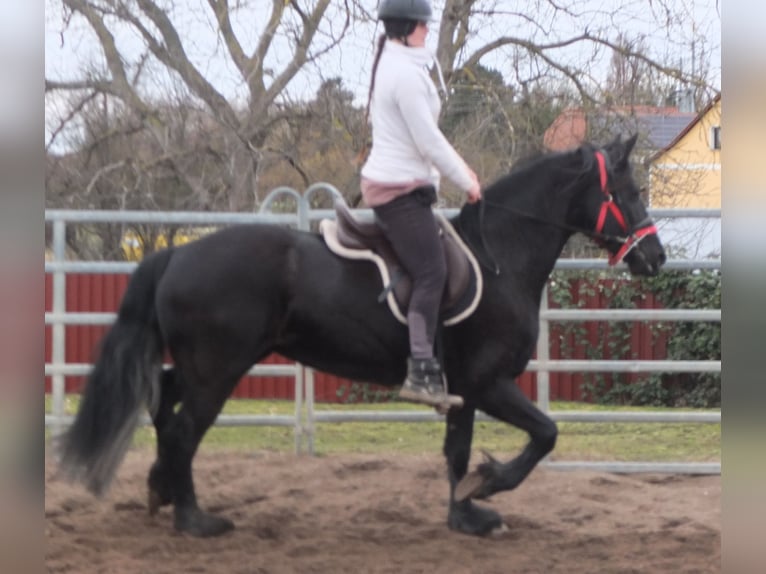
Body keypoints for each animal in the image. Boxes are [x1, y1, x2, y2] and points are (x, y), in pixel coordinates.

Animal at [57, 136, 664, 540]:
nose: (655, 257)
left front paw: (464, 515)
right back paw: (194, 520)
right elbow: (545, 434)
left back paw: (160, 491)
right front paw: (489, 486)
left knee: (162, 402)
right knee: (183, 430)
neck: (498, 259)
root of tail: (179, 253)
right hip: (217, 371)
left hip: (206, 365)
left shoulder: (463, 390)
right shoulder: (489, 384)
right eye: (628, 191)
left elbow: (458, 452)